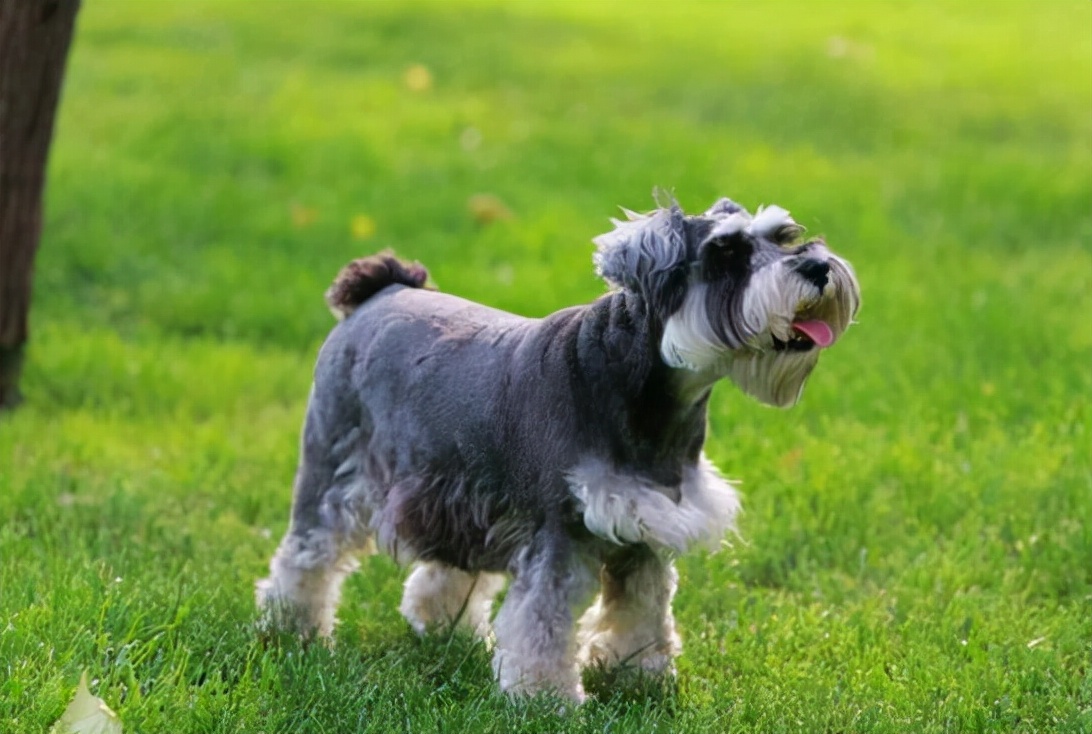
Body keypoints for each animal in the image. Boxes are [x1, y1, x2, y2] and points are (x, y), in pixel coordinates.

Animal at [257, 193, 860, 699]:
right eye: (727, 253)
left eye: (784, 235)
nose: (817, 267)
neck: (639, 386)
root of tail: (383, 289)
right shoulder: (558, 532)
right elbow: (541, 624)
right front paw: (546, 700)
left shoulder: (644, 529)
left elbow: (644, 609)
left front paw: (642, 675)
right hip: (332, 471)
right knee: (306, 554)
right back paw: (292, 630)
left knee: (449, 565)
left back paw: (444, 628)